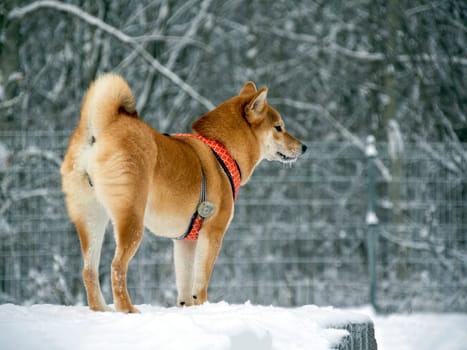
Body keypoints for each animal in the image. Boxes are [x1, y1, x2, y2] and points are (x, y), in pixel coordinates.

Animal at [61, 74, 308, 312]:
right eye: (279, 127)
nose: (305, 147)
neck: (222, 150)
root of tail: (104, 127)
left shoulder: (185, 241)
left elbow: (185, 284)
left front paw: (187, 308)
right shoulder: (212, 233)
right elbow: (200, 282)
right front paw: (202, 306)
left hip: (92, 219)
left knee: (88, 271)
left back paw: (100, 309)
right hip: (131, 220)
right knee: (117, 267)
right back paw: (127, 309)